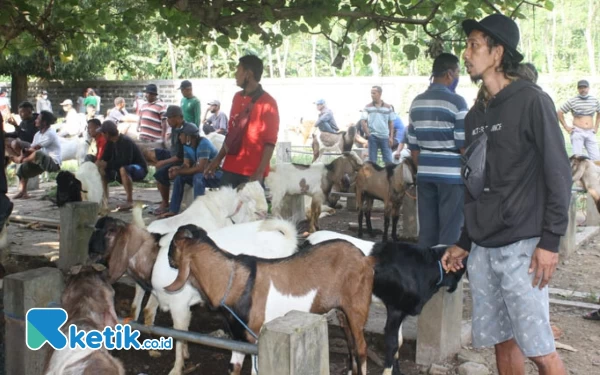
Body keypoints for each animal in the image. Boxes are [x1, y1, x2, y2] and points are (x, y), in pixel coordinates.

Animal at [166, 226, 376, 375]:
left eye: (173, 245)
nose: (168, 259)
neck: (231, 281)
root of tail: (365, 259)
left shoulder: (256, 338)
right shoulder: (239, 337)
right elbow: (233, 368)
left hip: (357, 308)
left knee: (361, 348)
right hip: (342, 312)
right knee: (351, 344)